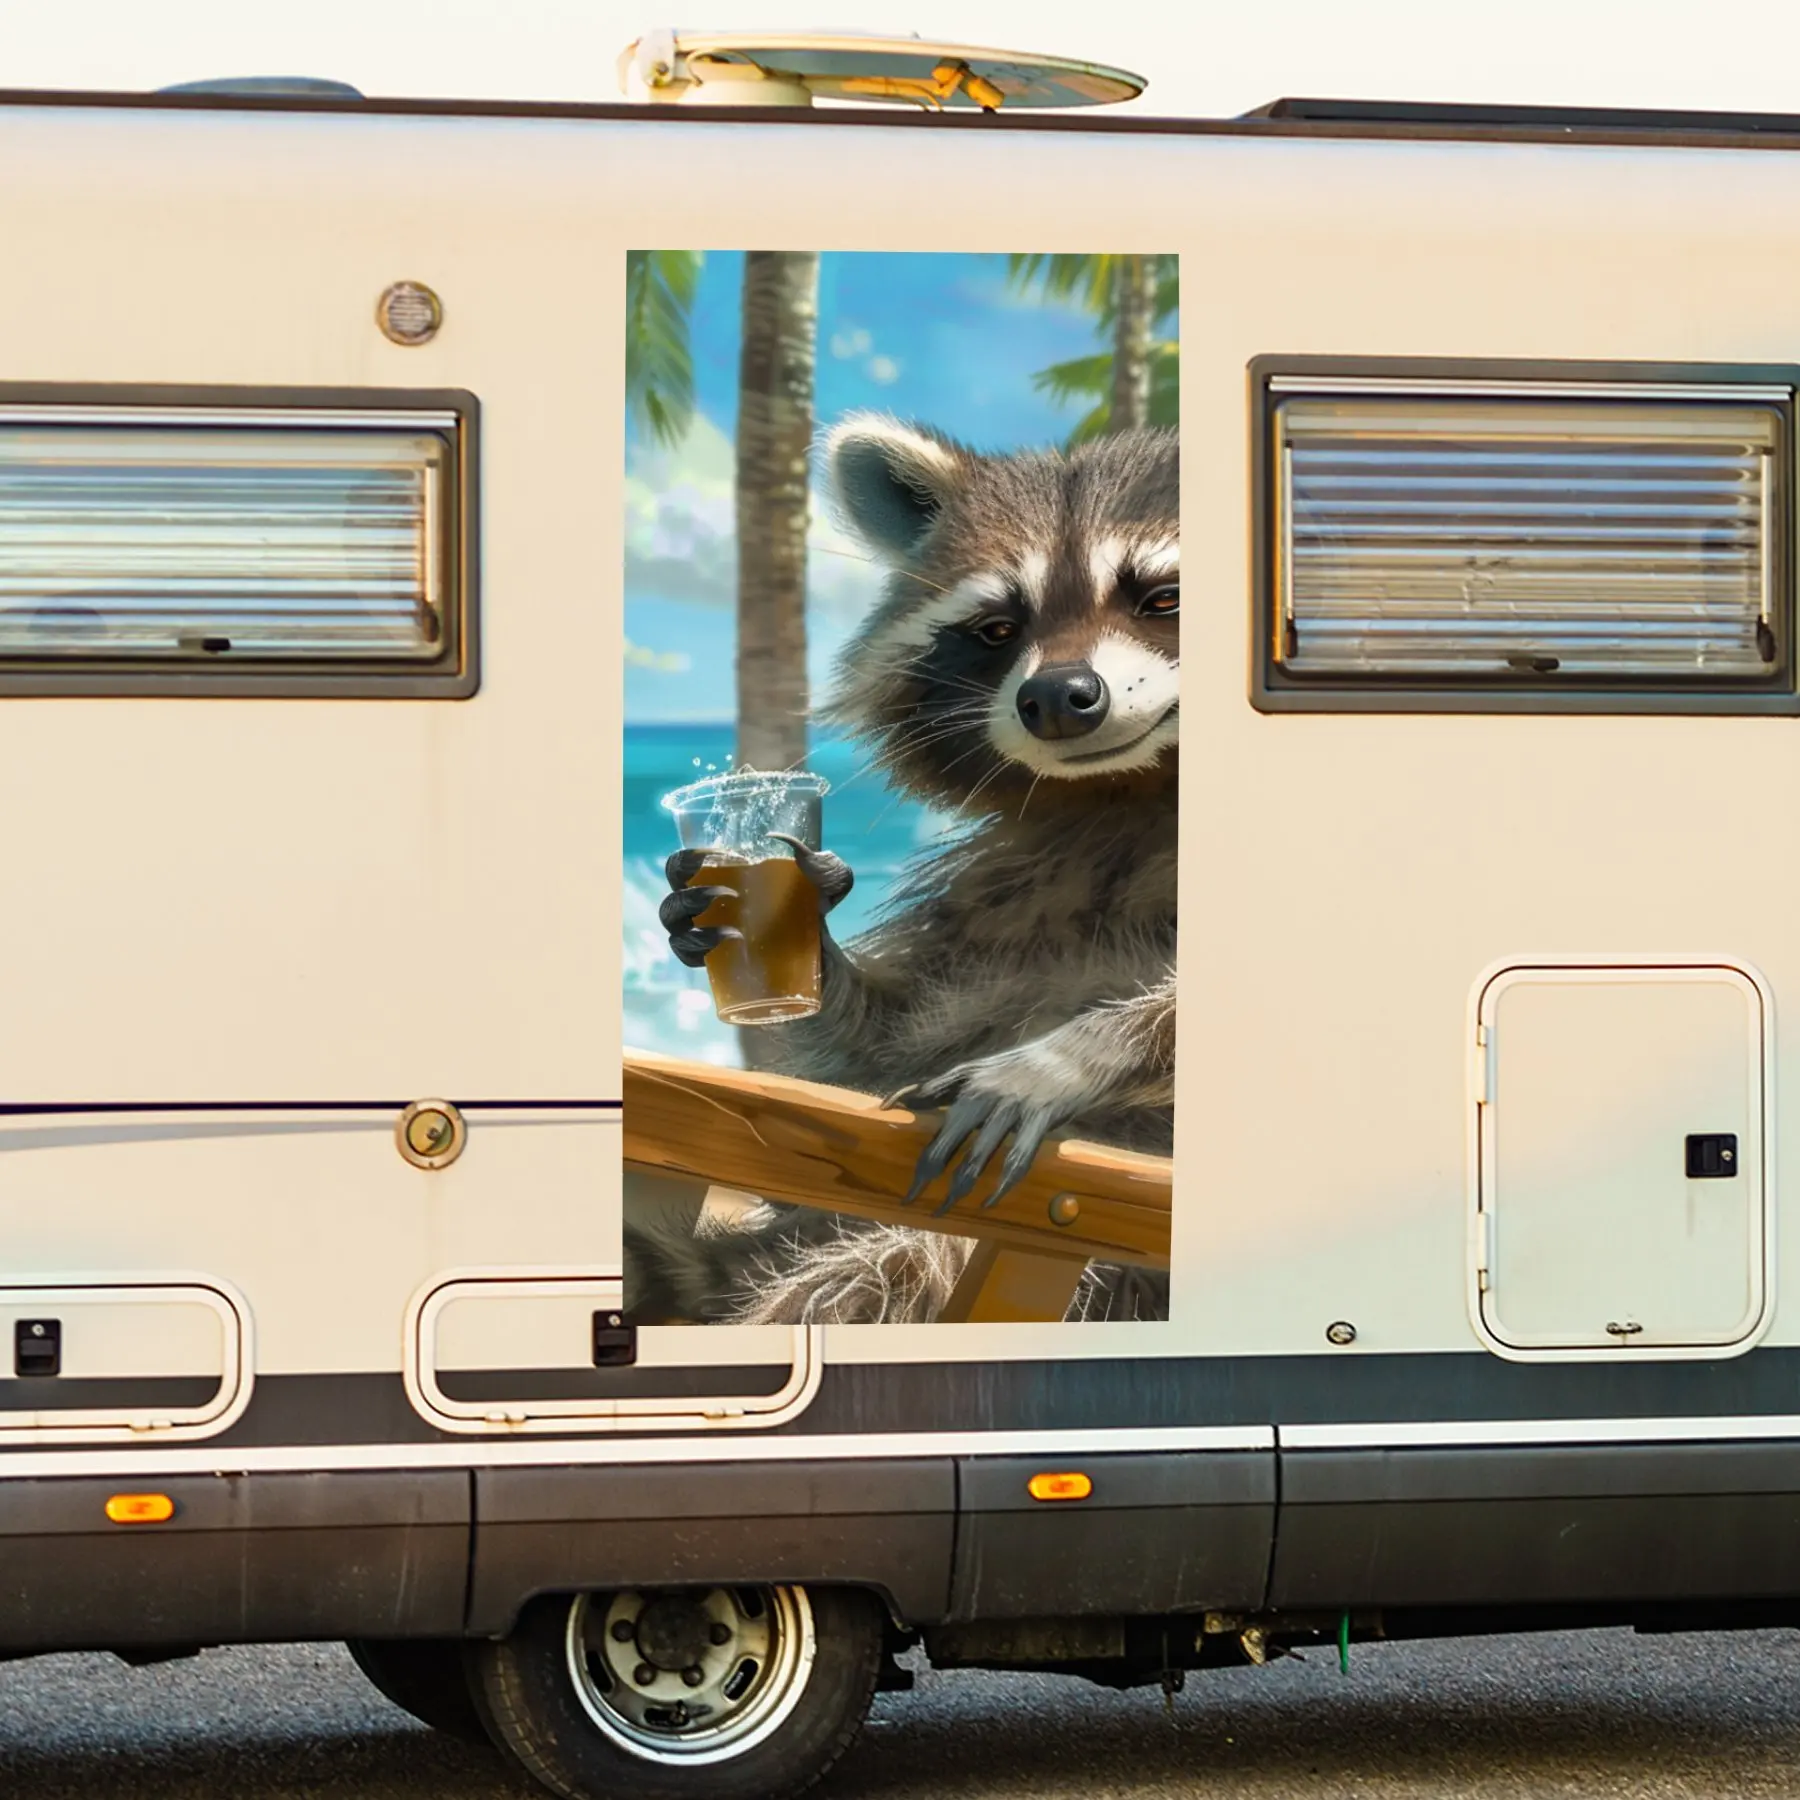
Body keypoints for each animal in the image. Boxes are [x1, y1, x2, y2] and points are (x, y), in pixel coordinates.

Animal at [638, 412, 1178, 1325]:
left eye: (1161, 597)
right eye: (998, 628)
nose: (1057, 698)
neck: (1127, 789)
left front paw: (1069, 1054)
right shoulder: (1022, 889)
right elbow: (894, 1047)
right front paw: (798, 930)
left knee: (895, 1269)